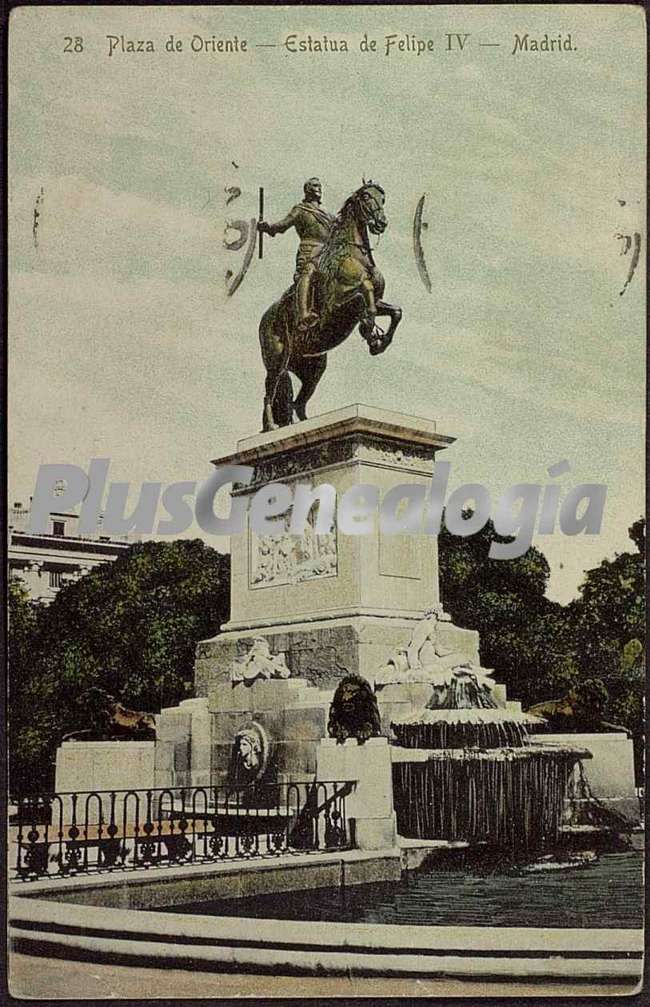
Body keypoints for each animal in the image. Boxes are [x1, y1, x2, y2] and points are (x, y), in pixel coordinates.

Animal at [256, 183, 401, 430]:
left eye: (382, 198)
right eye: (366, 196)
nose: (381, 222)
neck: (355, 256)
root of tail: (265, 318)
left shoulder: (377, 301)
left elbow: (395, 311)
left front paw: (379, 341)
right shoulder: (337, 307)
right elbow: (364, 297)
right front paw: (370, 333)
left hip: (313, 368)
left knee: (297, 403)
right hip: (276, 363)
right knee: (270, 393)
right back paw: (272, 426)